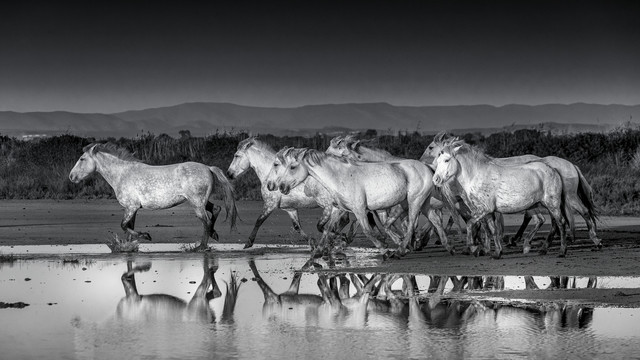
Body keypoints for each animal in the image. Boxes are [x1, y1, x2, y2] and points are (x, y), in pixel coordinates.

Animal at [264, 148, 436, 258]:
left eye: (292, 167)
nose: (282, 187)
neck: (340, 177)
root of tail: (427, 167)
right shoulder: (337, 209)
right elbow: (327, 229)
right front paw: (318, 251)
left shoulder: (359, 209)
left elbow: (367, 231)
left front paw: (385, 251)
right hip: (423, 203)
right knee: (432, 220)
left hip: (415, 201)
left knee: (412, 224)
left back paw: (401, 250)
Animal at [430, 142, 568, 258]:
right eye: (438, 160)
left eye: (446, 160)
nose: (435, 179)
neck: (476, 176)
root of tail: (553, 170)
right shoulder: (488, 212)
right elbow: (493, 230)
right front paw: (497, 253)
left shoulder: (484, 210)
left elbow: (470, 224)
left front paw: (474, 248)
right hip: (538, 205)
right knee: (548, 222)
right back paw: (540, 249)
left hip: (552, 204)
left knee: (560, 223)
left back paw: (562, 251)